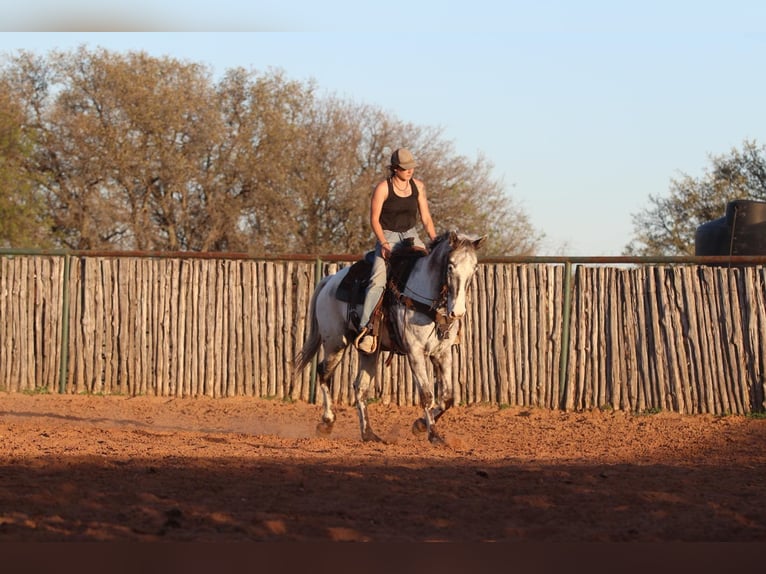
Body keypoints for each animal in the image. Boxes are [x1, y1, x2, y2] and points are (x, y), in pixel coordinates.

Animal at [294, 230, 487, 444]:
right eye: (451, 265)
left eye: (474, 267)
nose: (457, 312)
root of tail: (330, 281)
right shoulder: (415, 352)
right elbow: (427, 395)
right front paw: (433, 435)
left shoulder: (442, 353)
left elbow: (447, 397)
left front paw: (420, 425)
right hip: (335, 343)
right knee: (323, 373)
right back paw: (327, 422)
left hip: (369, 351)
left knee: (360, 387)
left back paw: (368, 433)